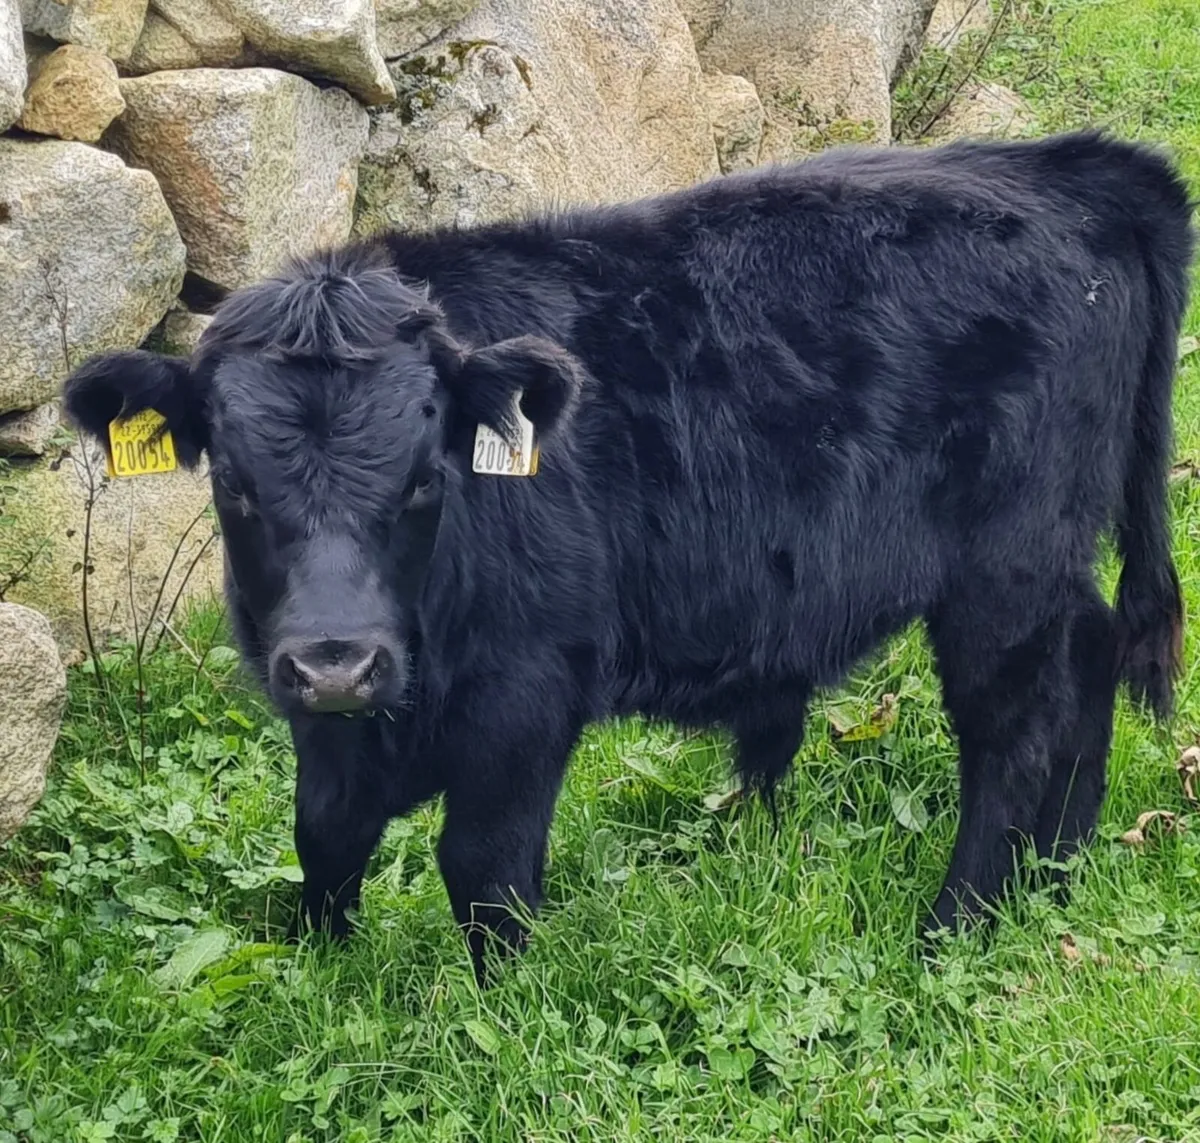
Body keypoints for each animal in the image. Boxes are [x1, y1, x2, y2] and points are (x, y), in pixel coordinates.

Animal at [64, 130, 1193, 982]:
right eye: (234, 485)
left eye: (425, 479)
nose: (339, 662)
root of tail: (1057, 166)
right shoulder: (317, 711)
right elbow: (325, 836)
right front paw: (324, 975)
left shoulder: (527, 692)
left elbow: (484, 868)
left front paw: (501, 1017)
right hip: (1051, 565)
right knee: (1087, 665)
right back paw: (1058, 871)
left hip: (1005, 567)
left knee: (1014, 731)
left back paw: (956, 926)